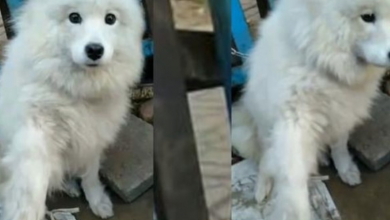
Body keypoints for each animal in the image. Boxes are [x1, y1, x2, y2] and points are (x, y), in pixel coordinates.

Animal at [0, 0, 145, 219]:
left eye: (110, 18)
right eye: (74, 17)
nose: (94, 50)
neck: (76, 92)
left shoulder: (92, 136)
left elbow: (90, 175)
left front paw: (97, 201)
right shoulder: (35, 137)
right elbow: (31, 186)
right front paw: (26, 211)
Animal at [233, 0, 390, 219]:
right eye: (367, 17)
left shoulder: (342, 112)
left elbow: (339, 147)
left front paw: (345, 169)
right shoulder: (294, 123)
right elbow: (292, 178)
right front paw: (296, 210)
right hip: (262, 127)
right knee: (265, 158)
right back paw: (262, 187)